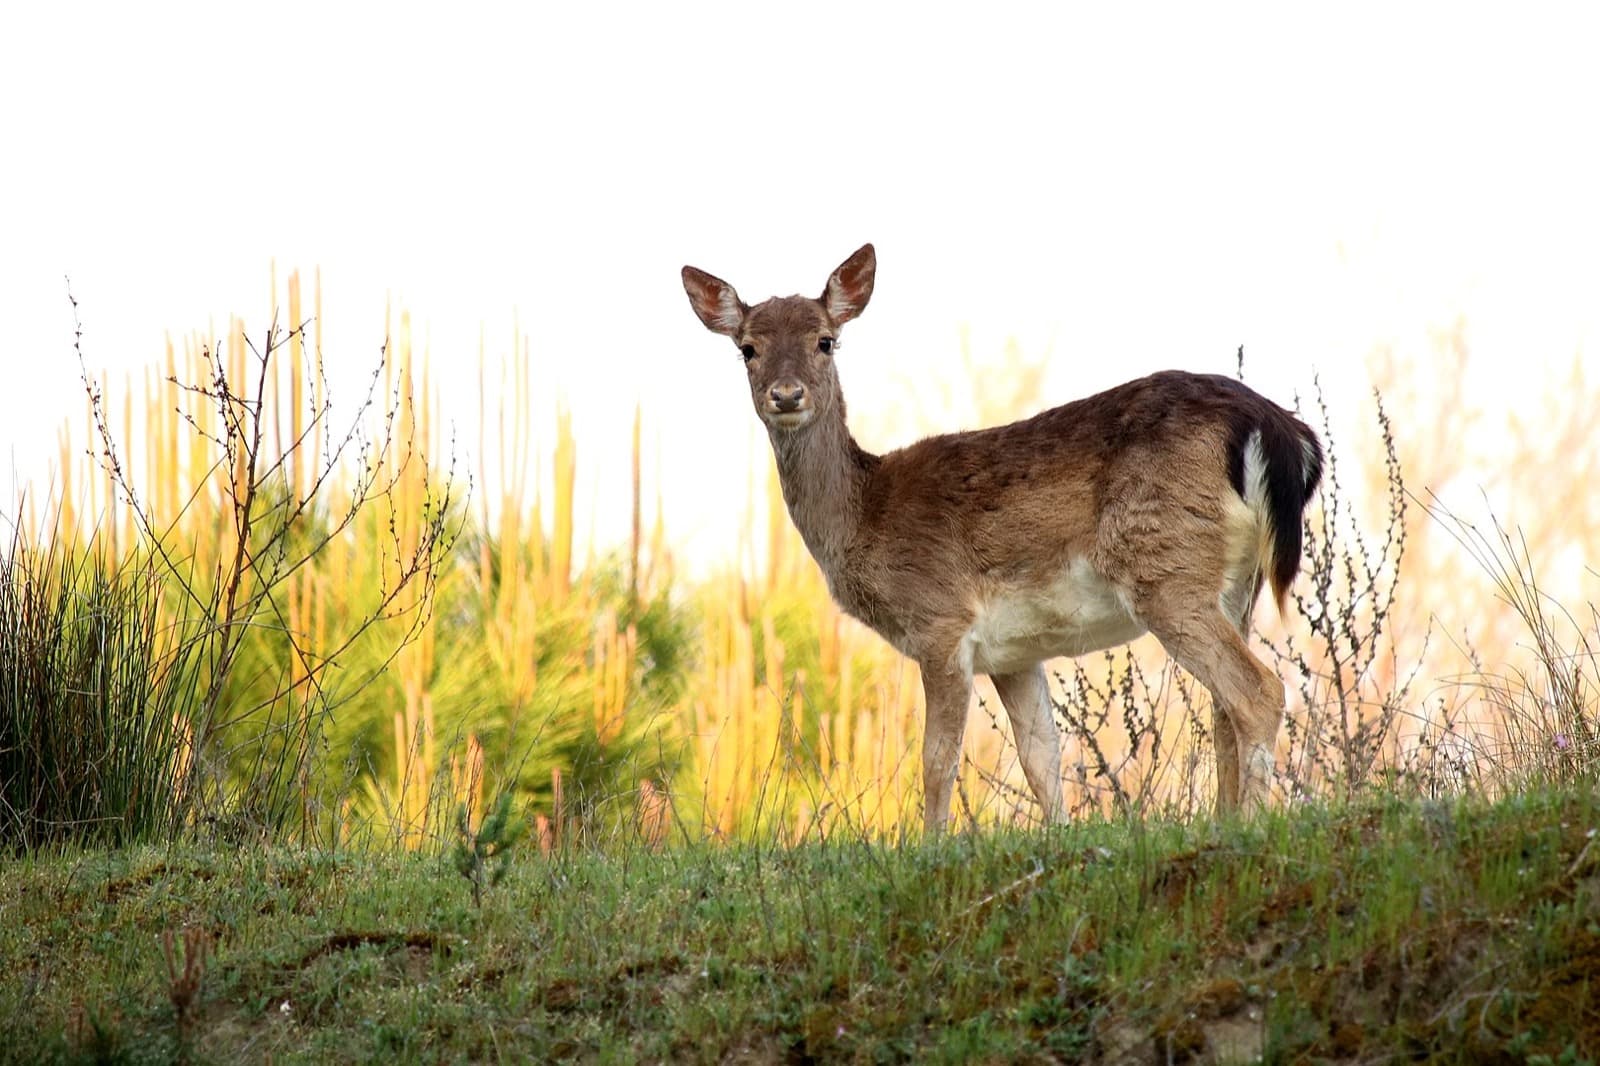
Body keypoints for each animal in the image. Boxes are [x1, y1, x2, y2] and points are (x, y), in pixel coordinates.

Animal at [681, 243, 1318, 832]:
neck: (867, 516)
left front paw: (930, 847)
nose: (786, 394)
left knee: (1258, 692)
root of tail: (1280, 429)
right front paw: (1058, 837)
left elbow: (937, 761)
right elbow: (1041, 757)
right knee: (1224, 708)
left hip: (1166, 568)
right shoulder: (1015, 651)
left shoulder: (941, 621)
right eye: (747, 348)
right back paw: (1228, 819)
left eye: (825, 340)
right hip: (1234, 583)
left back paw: (1250, 825)